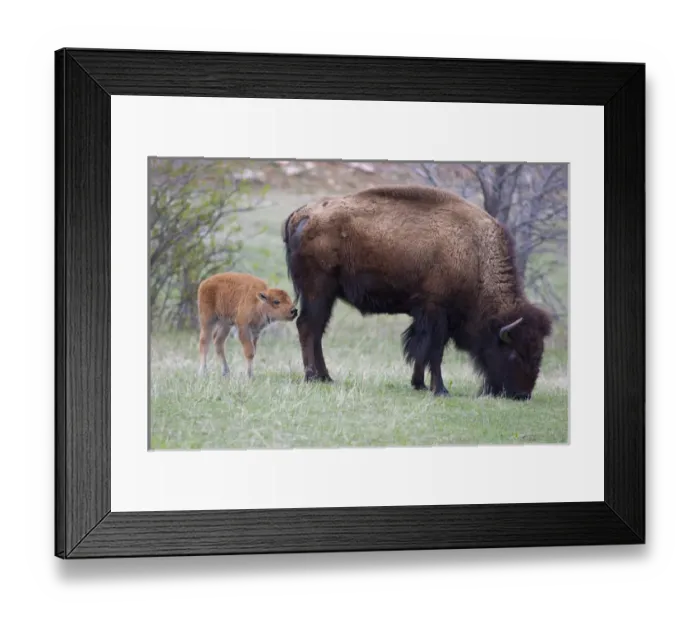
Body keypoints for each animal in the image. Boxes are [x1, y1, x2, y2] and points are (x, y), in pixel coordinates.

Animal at [282, 185, 553, 400]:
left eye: (539, 353)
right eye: (513, 354)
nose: (522, 395)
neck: (475, 255)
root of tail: (302, 214)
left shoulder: (431, 316)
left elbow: (420, 348)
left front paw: (419, 384)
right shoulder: (436, 311)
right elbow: (434, 350)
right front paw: (440, 390)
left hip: (326, 295)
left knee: (317, 330)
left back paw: (325, 377)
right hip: (318, 290)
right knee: (308, 326)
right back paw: (311, 376)